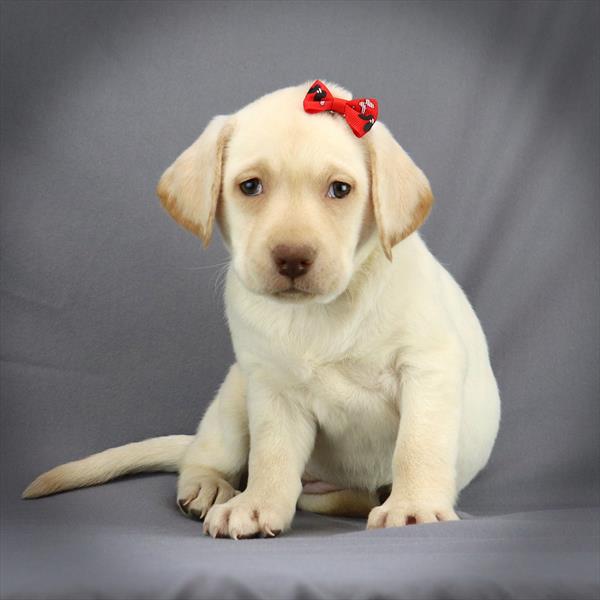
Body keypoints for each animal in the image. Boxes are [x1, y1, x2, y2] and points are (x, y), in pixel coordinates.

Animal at [22, 81, 502, 540]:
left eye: (340, 189)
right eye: (250, 186)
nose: (292, 258)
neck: (321, 313)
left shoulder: (427, 367)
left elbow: (418, 446)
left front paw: (413, 506)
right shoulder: (273, 388)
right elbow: (272, 456)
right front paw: (256, 506)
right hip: (236, 392)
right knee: (204, 457)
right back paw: (210, 488)